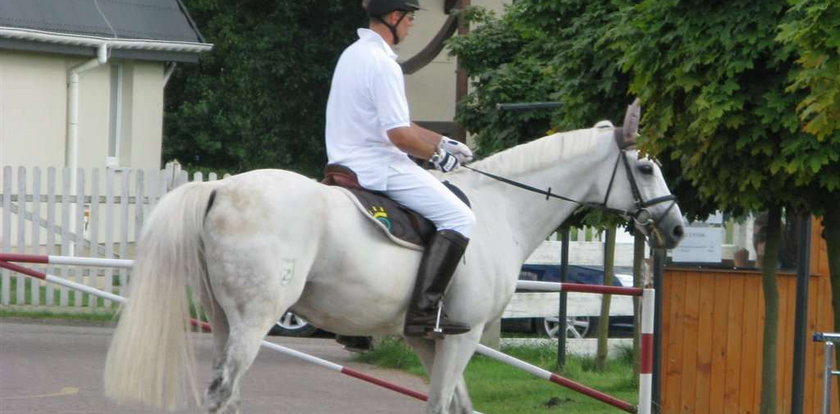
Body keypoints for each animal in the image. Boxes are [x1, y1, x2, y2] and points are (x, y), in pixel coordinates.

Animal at [103, 101, 684, 414]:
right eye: (648, 167)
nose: (676, 228)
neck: (501, 208)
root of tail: (220, 188)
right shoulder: (464, 336)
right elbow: (440, 404)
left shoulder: (429, 339)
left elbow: (457, 405)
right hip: (254, 320)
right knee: (225, 389)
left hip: (224, 319)